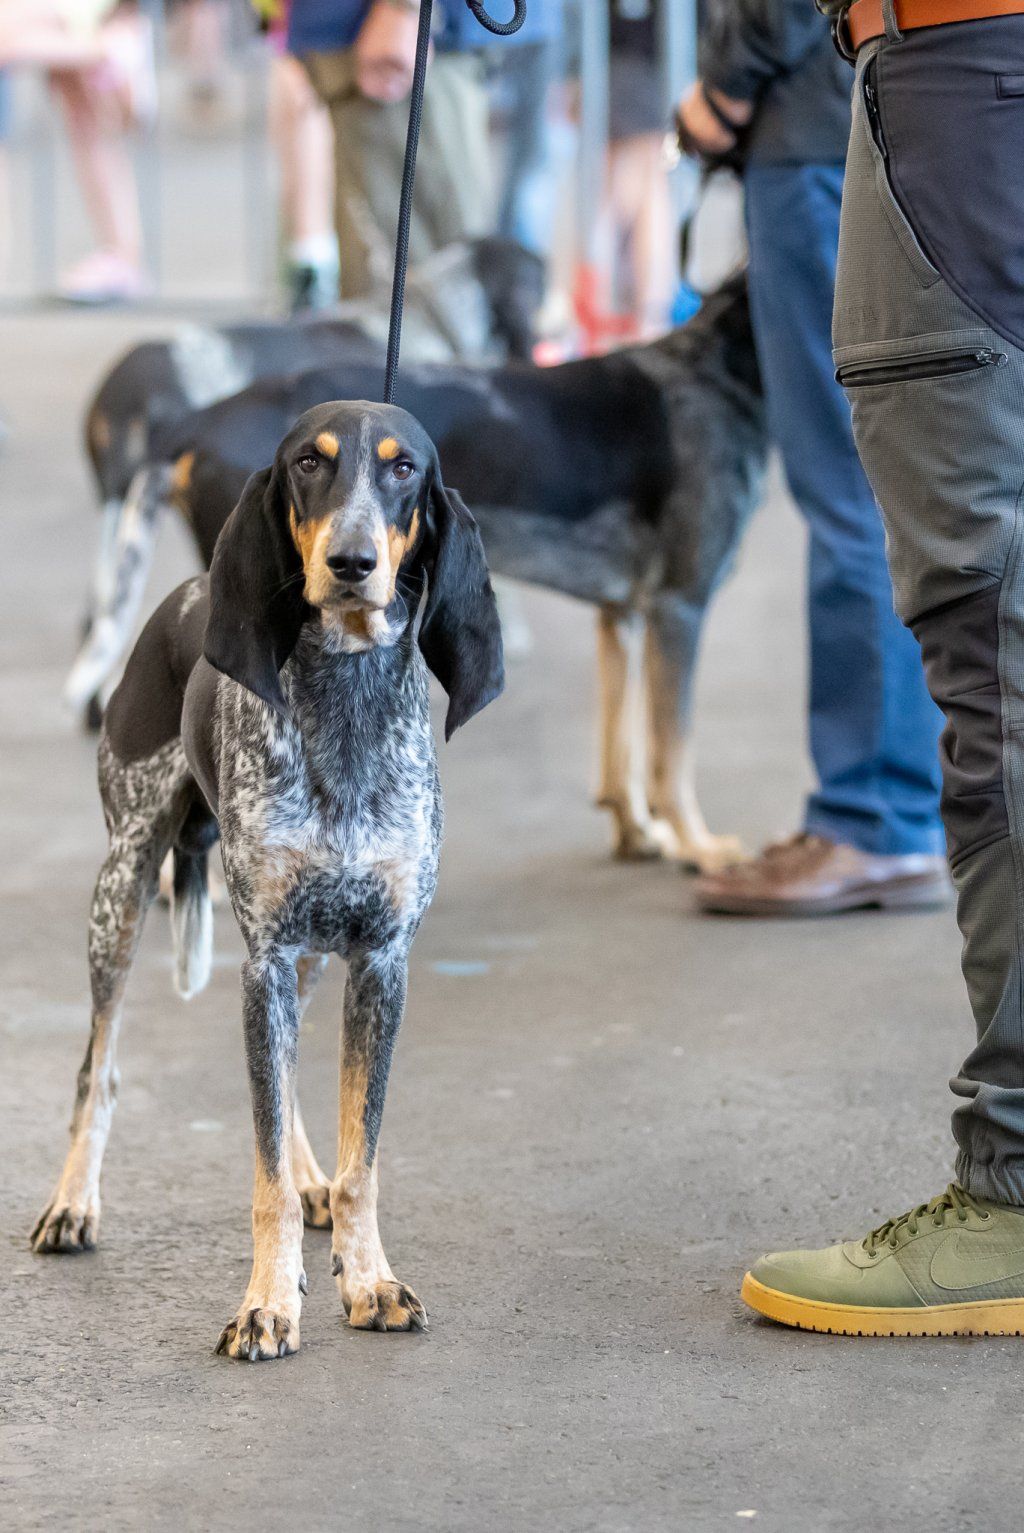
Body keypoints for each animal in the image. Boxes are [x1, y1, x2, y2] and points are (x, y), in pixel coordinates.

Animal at [33, 401, 505, 1361]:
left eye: (403, 470)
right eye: (308, 464)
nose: (353, 562)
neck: (348, 702)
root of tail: (186, 593)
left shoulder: (378, 963)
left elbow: (361, 1156)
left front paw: (369, 1279)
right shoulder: (266, 956)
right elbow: (263, 1174)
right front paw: (266, 1303)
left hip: (307, 955)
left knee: (281, 1084)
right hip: (123, 892)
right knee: (100, 1066)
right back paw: (72, 1202)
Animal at [70, 280, 766, 870]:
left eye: (405, 468)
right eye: (308, 464)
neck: (714, 371)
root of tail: (198, 422)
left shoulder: (621, 614)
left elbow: (621, 745)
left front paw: (637, 833)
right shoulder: (680, 606)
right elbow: (672, 751)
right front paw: (701, 849)